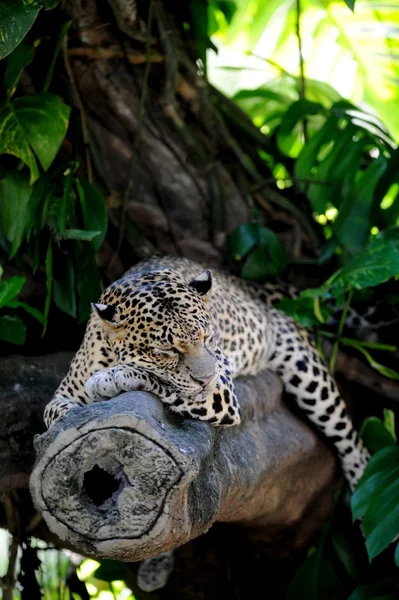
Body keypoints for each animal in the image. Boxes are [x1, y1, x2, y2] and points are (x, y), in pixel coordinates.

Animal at [44, 253, 372, 492]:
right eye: (167, 351)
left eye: (207, 337)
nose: (207, 377)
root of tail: (251, 287)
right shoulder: (61, 393)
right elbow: (54, 412)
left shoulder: (221, 391)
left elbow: (163, 382)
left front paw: (114, 377)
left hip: (307, 372)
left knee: (352, 441)